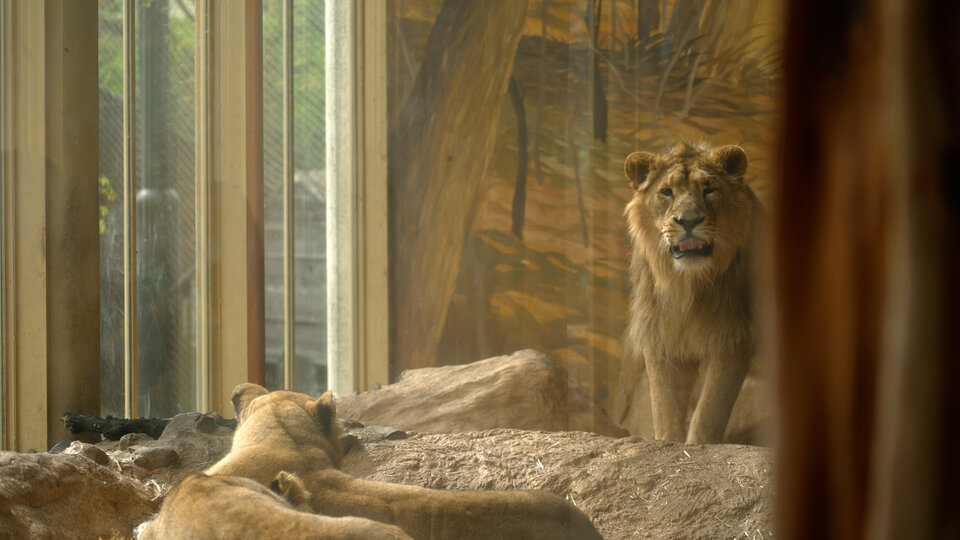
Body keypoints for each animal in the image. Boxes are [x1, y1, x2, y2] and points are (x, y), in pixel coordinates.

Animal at [620, 141, 760, 446]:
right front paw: (667, 440)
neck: (687, 286)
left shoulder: (732, 339)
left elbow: (710, 410)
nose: (689, 221)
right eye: (666, 192)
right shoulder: (661, 339)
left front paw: (698, 443)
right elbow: (664, 407)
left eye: (709, 189)